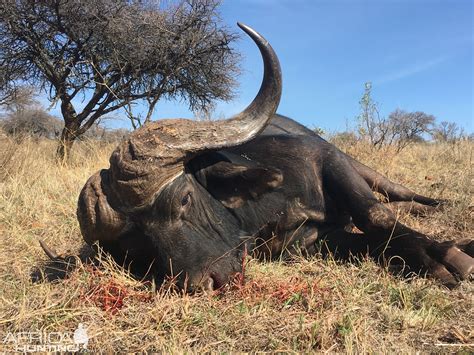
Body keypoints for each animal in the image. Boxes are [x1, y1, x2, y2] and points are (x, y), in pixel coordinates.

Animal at [69, 23, 470, 294]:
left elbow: (376, 216)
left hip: (365, 170)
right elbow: (368, 236)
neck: (268, 211)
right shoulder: (311, 242)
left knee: (397, 196)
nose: (203, 284)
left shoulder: (326, 159)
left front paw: (444, 255)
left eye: (183, 200)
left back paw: (437, 204)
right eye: (137, 247)